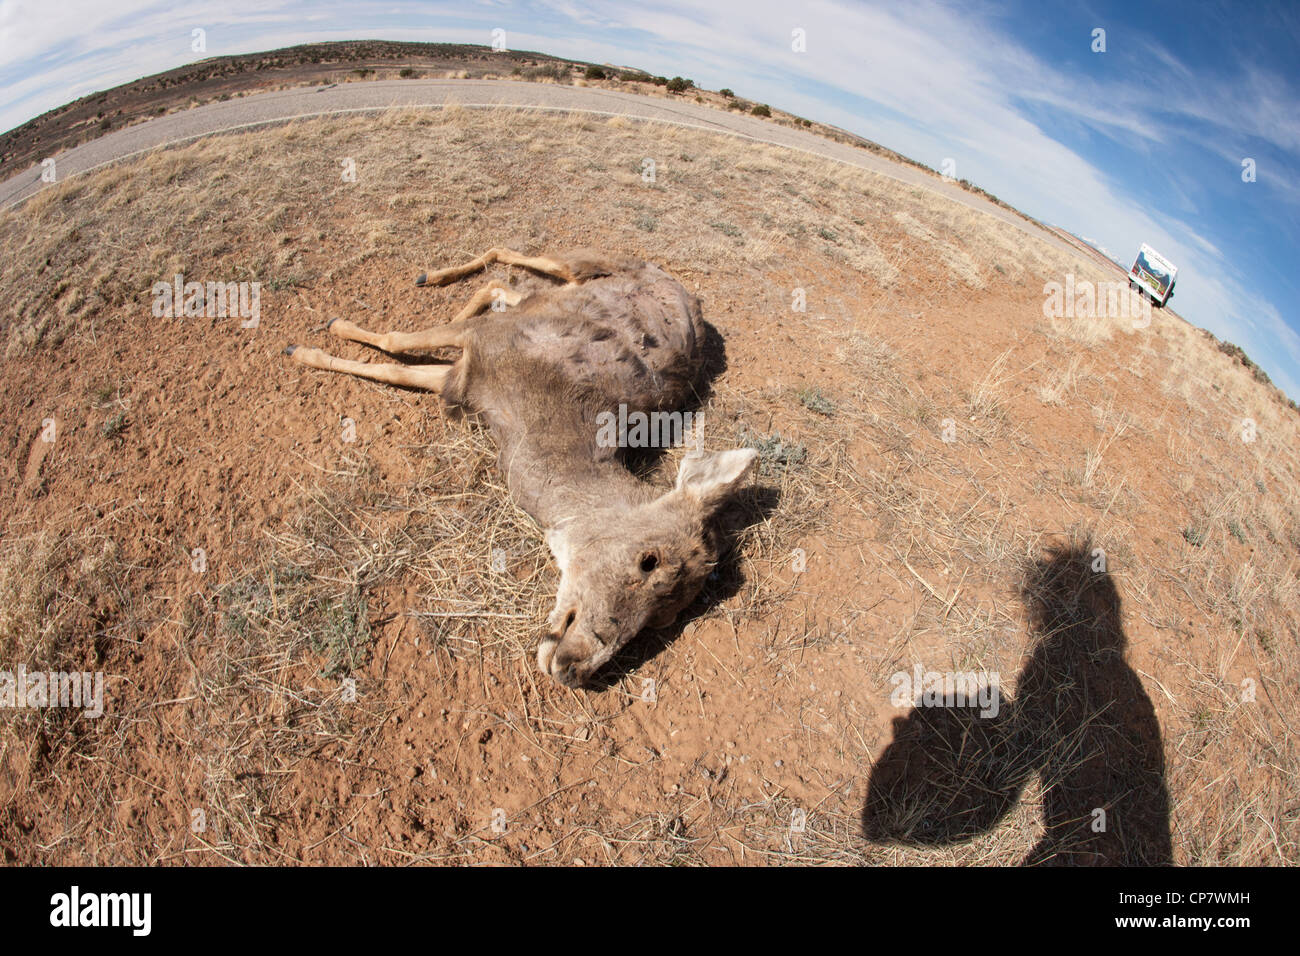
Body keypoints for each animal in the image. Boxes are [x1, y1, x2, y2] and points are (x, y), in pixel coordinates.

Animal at [283, 251, 754, 686]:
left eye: (664, 619)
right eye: (649, 560)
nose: (573, 669)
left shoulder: (463, 382)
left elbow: (394, 366)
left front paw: (312, 347)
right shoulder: (483, 344)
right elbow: (395, 342)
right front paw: (312, 341)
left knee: (503, 286)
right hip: (589, 264)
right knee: (514, 264)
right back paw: (427, 279)